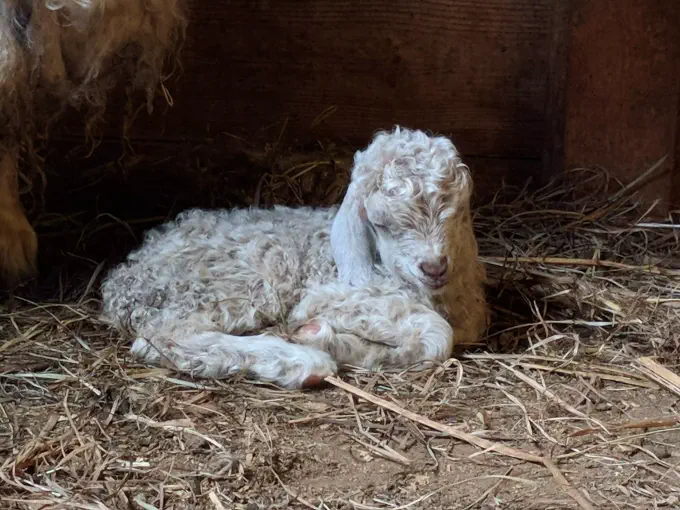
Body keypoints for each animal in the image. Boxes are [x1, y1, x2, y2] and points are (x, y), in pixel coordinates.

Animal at [100, 127, 488, 388]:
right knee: (166, 336)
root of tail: (122, 282)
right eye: (380, 223)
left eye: (457, 212)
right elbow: (439, 336)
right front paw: (319, 337)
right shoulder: (330, 297)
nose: (434, 267)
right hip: (229, 282)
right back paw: (302, 363)